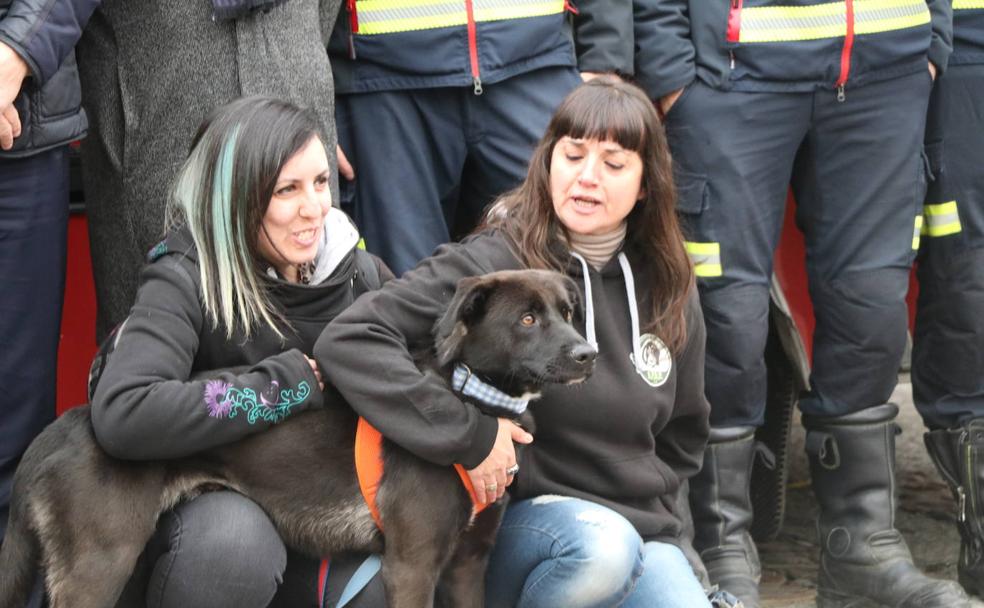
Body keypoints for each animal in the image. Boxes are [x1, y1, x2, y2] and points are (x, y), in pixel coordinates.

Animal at [0, 270, 596, 608]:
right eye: (527, 319)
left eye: (567, 313)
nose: (588, 354)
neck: (473, 393)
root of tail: (58, 429)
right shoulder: (412, 566)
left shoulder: (469, 564)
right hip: (98, 565)